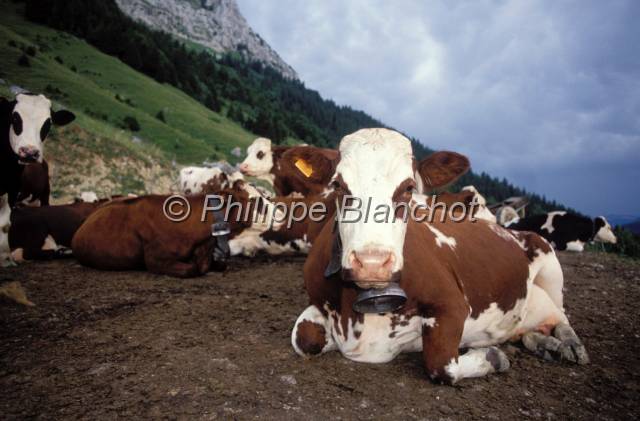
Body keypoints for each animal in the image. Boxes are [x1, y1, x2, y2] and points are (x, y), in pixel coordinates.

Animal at [291, 128, 588, 385]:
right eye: (339, 185)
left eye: (409, 188)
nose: (372, 263)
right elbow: (303, 337)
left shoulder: (453, 304)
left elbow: (441, 364)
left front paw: (493, 356)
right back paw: (544, 343)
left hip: (550, 266)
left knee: (562, 316)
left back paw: (569, 345)